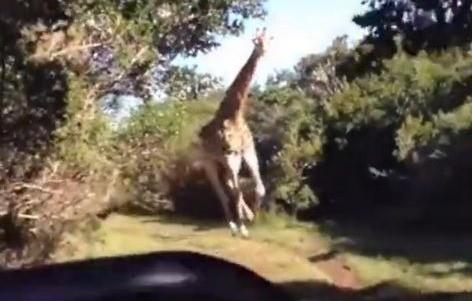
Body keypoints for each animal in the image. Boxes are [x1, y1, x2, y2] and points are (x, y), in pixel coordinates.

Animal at [192, 28, 272, 237]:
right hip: (210, 163)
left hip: (224, 163)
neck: (234, 114)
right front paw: (242, 226)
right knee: (221, 191)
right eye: (257, 42)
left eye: (269, 40)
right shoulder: (230, 155)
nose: (264, 51)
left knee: (230, 185)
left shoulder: (247, 151)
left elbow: (260, 188)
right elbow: (237, 191)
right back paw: (233, 225)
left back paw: (245, 216)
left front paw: (254, 215)